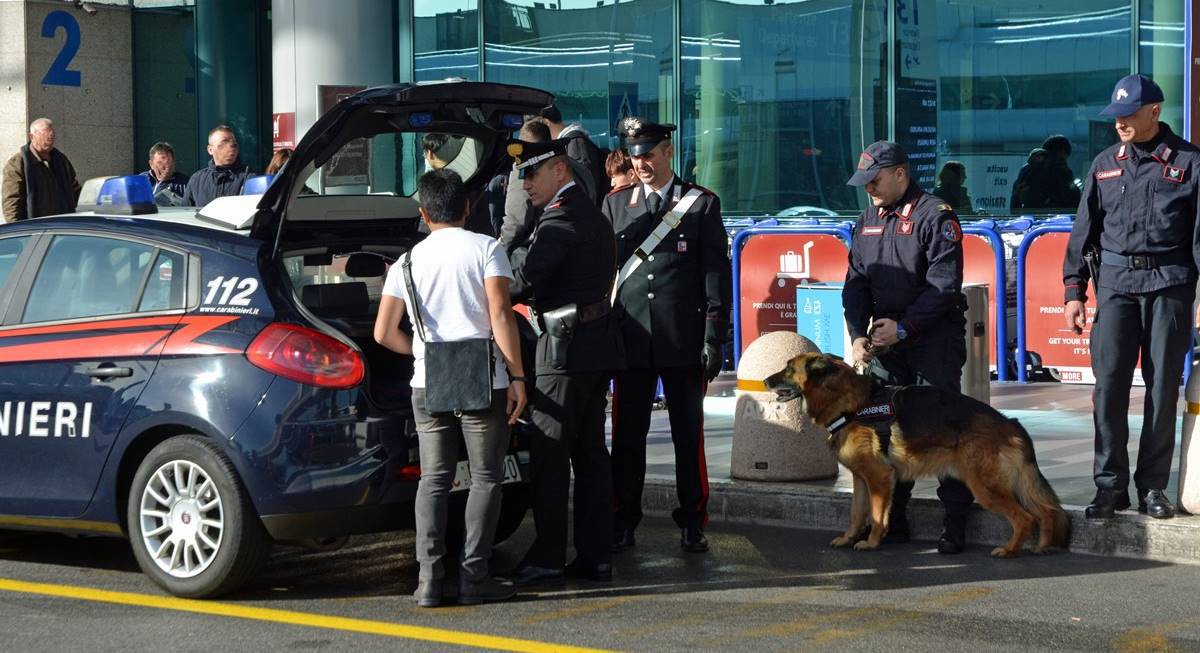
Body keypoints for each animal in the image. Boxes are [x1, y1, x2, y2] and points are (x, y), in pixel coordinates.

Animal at [768, 352, 1070, 556]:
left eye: (788, 368)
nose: (765, 380)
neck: (847, 404)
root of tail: (1009, 422)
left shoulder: (879, 478)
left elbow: (876, 515)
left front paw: (872, 542)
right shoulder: (861, 478)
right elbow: (856, 512)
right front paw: (848, 538)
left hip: (985, 487)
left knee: (1025, 517)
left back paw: (1009, 550)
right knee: (1046, 511)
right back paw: (1042, 546)